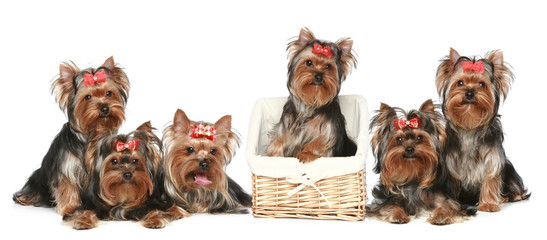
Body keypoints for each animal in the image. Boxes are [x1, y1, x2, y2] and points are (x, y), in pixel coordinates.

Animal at [13, 57, 130, 217]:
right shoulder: (66, 167)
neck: (92, 132)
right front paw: (69, 207)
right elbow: (67, 185)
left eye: (108, 93)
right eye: (87, 97)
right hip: (38, 177)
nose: (105, 108)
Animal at [266, 28, 360, 163]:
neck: (311, 103)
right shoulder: (287, 127)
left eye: (328, 66)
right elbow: (279, 140)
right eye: (309, 62)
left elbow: (320, 141)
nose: (318, 76)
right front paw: (273, 154)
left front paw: (306, 154)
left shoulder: (329, 129)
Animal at [436, 47, 532, 211]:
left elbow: (491, 179)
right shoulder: (452, 164)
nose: (469, 93)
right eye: (460, 83)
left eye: (482, 84)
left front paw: (488, 204)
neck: (470, 124)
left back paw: (511, 196)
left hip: (508, 167)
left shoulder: (493, 158)